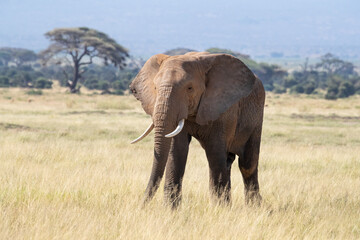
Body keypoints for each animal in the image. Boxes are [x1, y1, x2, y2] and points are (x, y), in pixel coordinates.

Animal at [129, 51, 264, 207]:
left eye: (189, 88)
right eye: (155, 88)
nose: (141, 206)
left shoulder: (223, 109)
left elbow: (215, 151)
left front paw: (219, 209)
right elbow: (177, 149)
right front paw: (170, 209)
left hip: (256, 117)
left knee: (247, 164)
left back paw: (253, 208)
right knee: (229, 161)